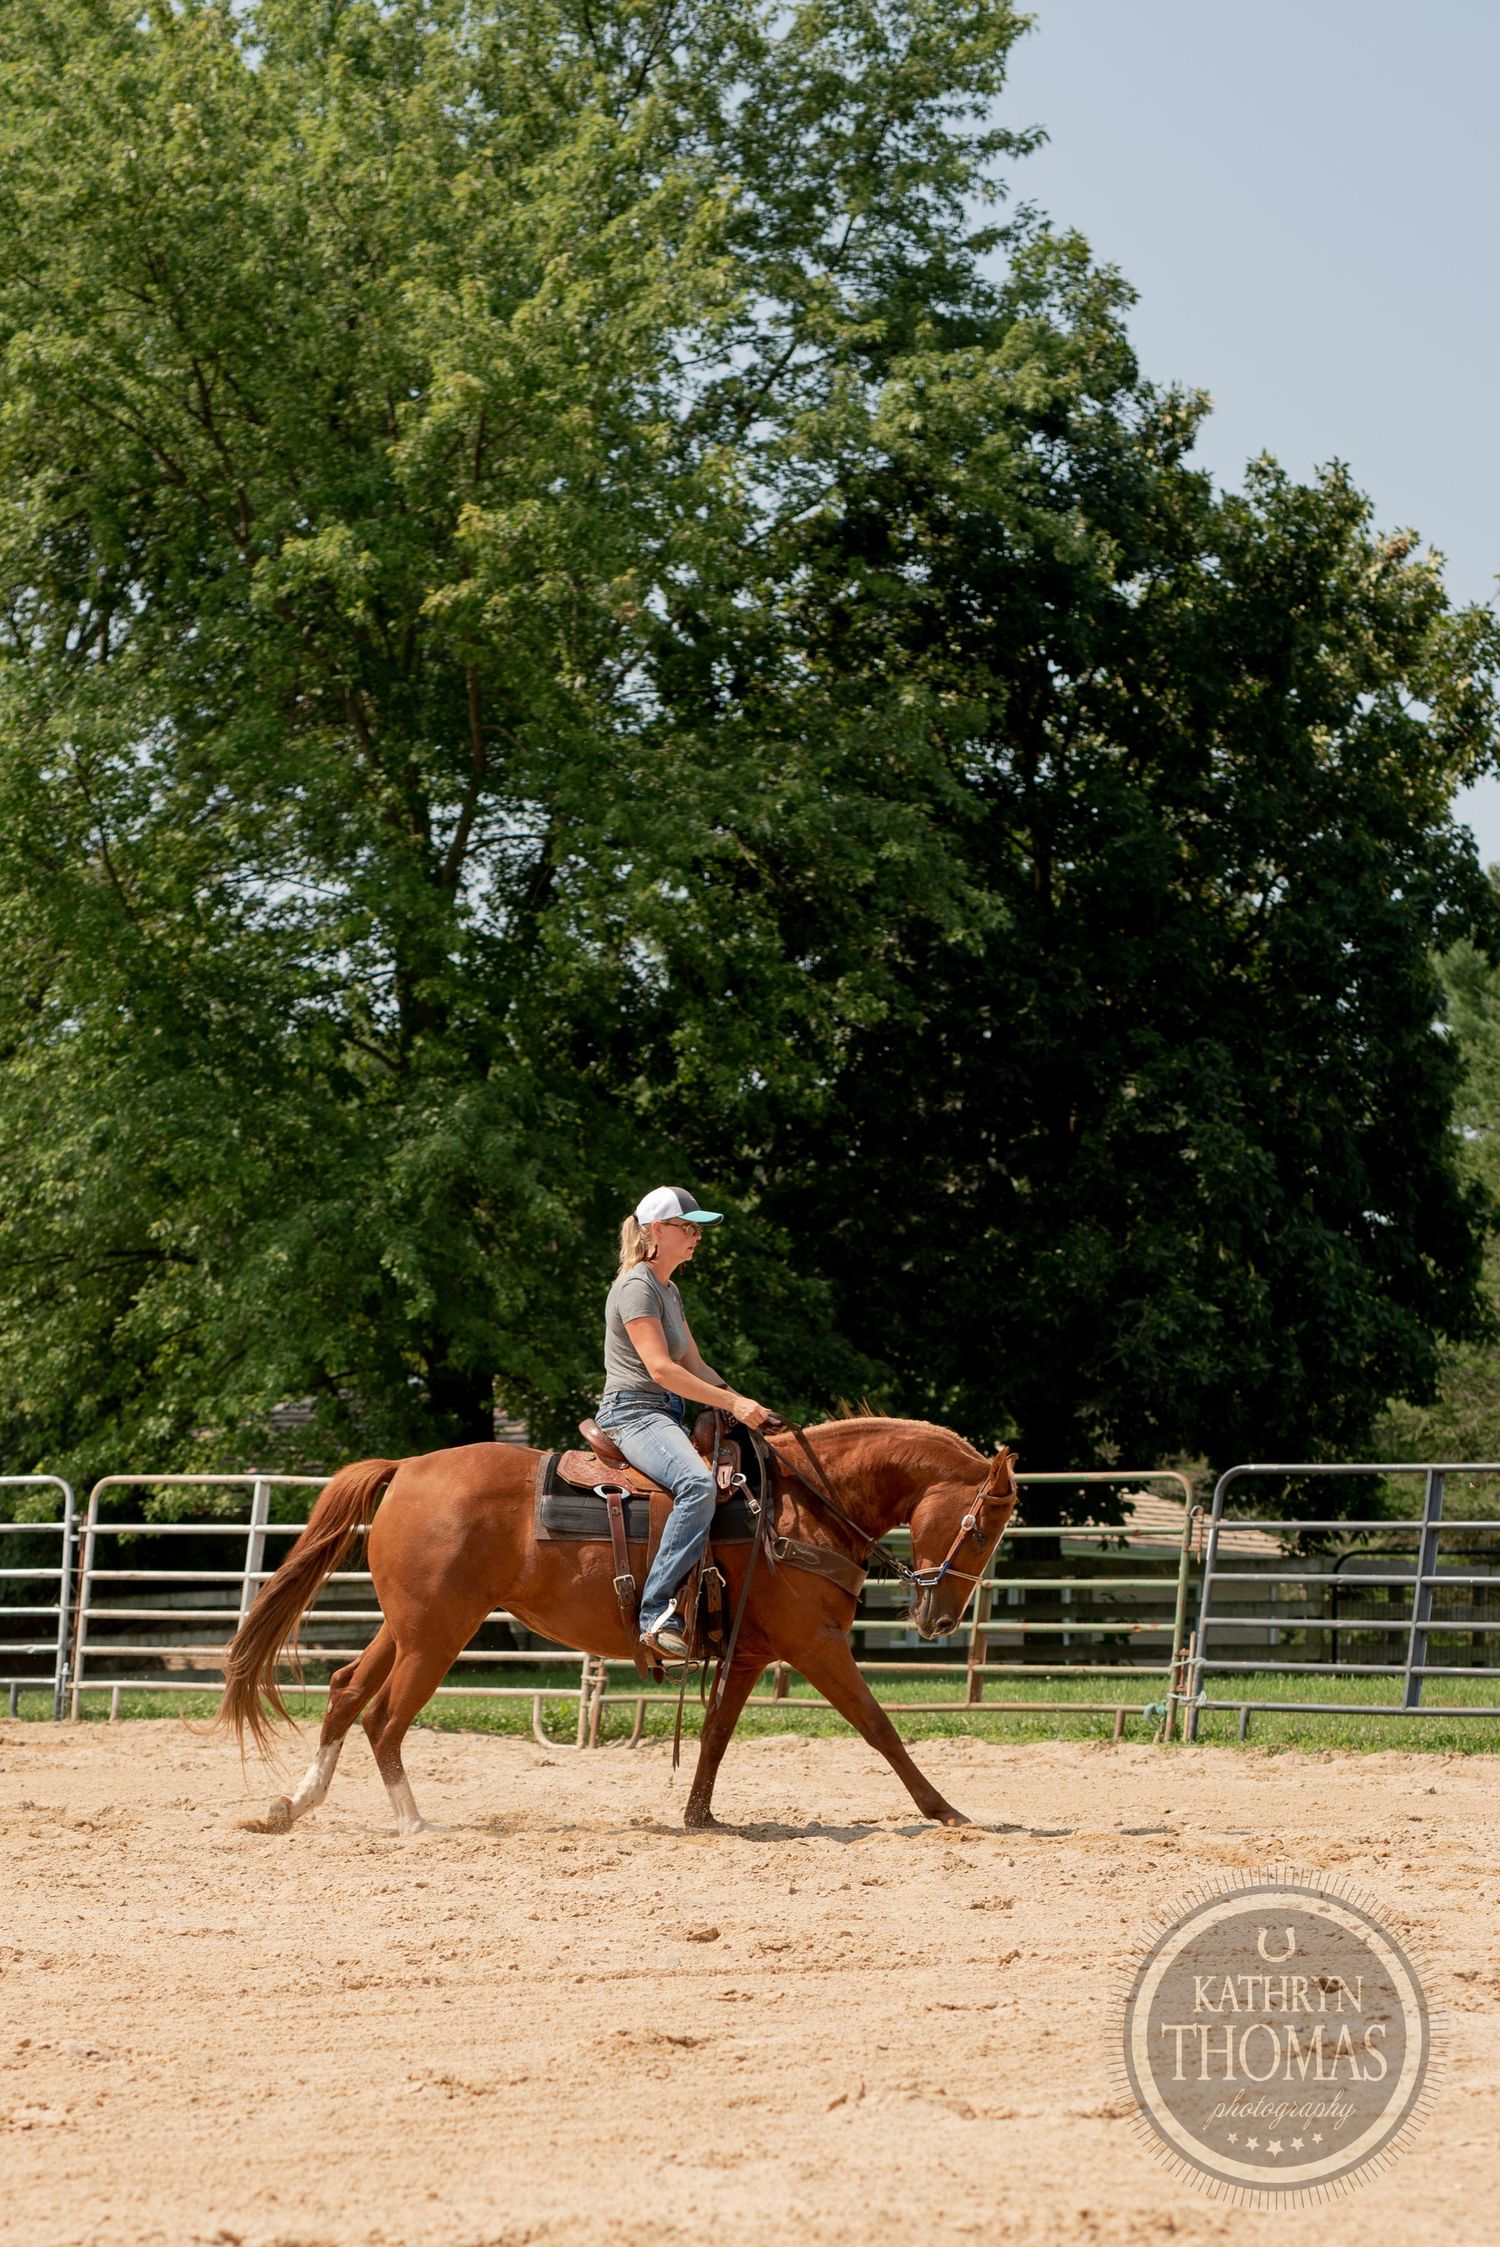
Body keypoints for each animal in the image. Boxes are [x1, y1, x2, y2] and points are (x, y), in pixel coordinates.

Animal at [217, 1417, 1019, 1835]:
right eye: (982, 1529)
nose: (939, 1618)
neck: (797, 1508)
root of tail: (407, 1467)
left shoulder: (750, 1654)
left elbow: (715, 1735)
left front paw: (699, 1815)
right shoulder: (814, 1646)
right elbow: (880, 1726)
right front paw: (946, 1810)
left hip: (411, 1627)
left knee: (347, 1690)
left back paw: (292, 1803)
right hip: (437, 1635)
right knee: (384, 1716)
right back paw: (411, 1822)